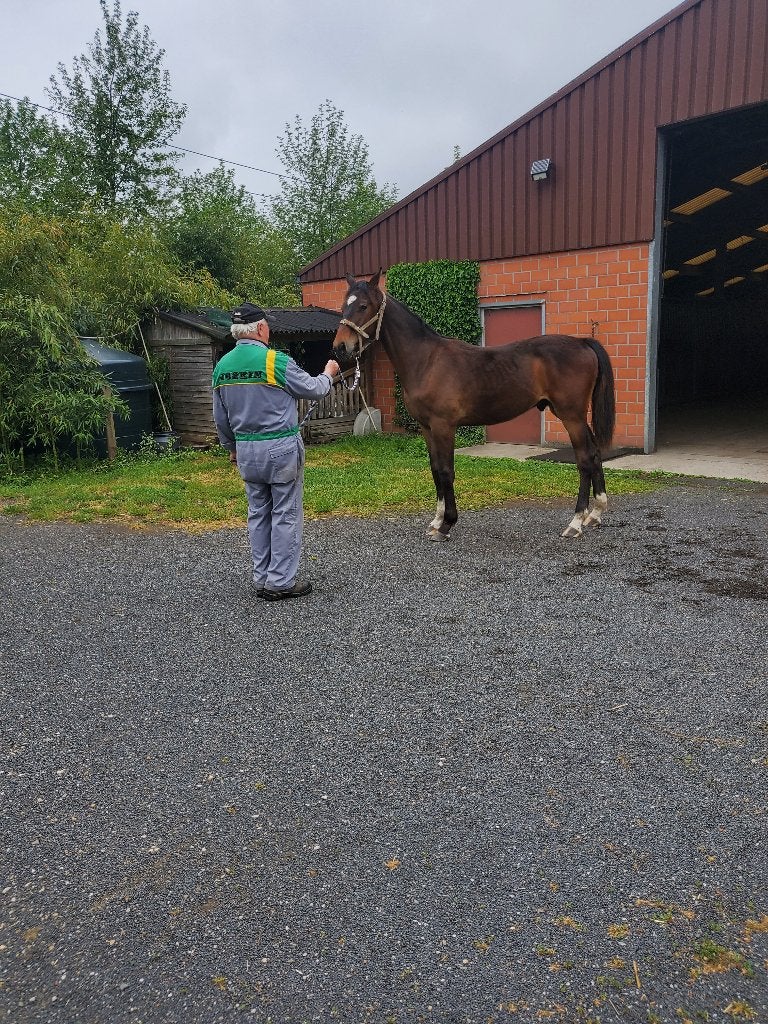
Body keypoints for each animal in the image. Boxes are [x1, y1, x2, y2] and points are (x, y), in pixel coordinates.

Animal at [333, 271, 616, 542]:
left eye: (363, 305)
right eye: (343, 305)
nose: (340, 347)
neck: (426, 361)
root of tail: (582, 342)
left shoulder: (444, 426)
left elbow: (446, 471)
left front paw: (446, 525)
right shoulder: (427, 427)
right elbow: (435, 469)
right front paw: (436, 520)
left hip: (571, 416)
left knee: (584, 460)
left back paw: (575, 523)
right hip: (573, 415)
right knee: (594, 453)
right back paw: (595, 514)